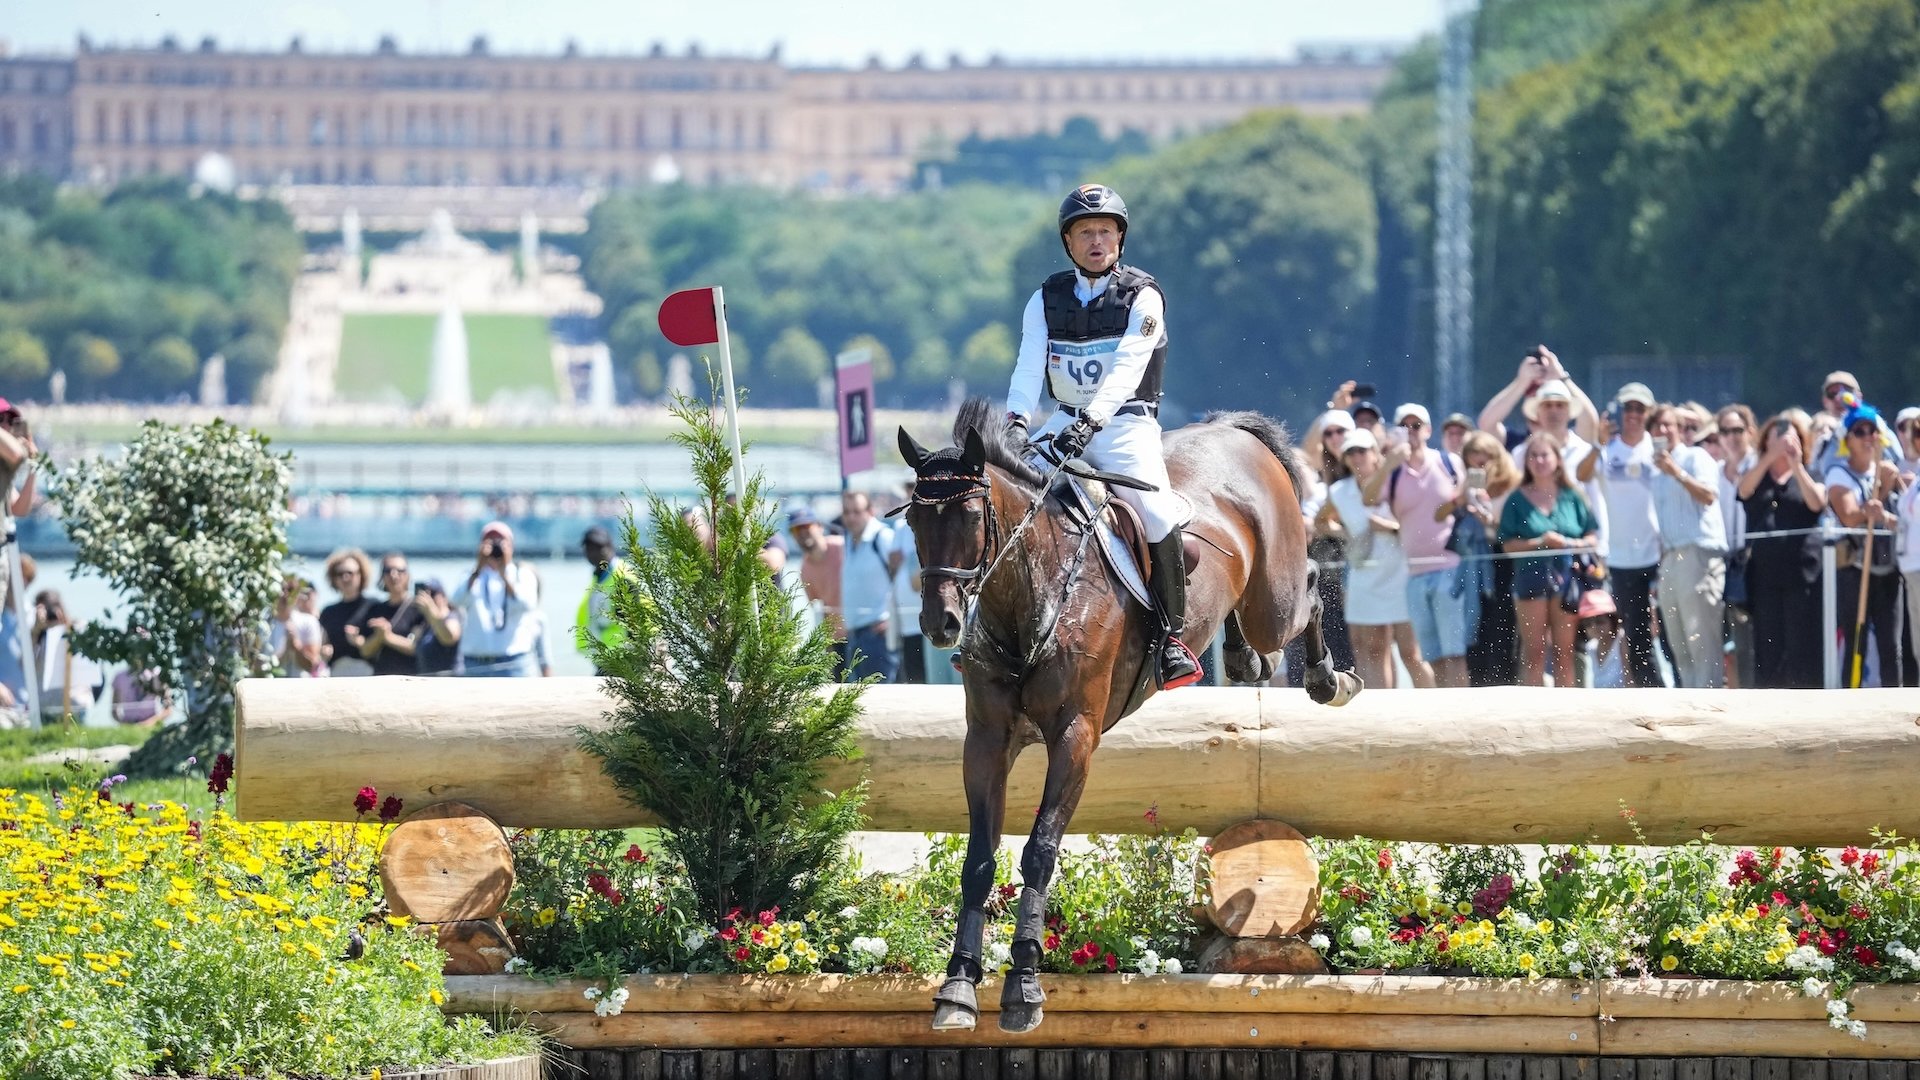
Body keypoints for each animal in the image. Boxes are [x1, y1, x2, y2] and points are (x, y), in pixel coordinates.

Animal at [890, 393, 1359, 1022]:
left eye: (969, 516)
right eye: (915, 521)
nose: (939, 624)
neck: (1032, 594)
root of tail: (1231, 431)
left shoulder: (1075, 735)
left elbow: (1039, 852)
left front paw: (1024, 987)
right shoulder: (987, 739)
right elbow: (980, 858)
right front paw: (959, 986)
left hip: (1273, 598)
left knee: (1305, 587)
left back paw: (1328, 678)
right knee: (1259, 632)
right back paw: (1245, 661)